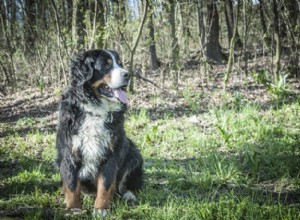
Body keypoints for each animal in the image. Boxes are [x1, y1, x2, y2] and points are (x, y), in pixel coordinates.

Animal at [56, 49, 145, 217]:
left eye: (120, 64)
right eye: (106, 65)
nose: (127, 74)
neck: (95, 111)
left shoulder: (110, 152)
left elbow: (105, 184)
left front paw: (101, 209)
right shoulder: (69, 151)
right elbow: (71, 184)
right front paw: (74, 209)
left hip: (133, 154)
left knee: (126, 182)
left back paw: (128, 194)